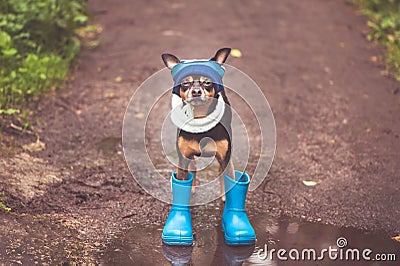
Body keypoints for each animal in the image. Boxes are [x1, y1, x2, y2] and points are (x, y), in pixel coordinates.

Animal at [162, 48, 234, 201]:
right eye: (185, 83)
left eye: (207, 82)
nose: (196, 91)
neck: (200, 119)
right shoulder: (183, 158)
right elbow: (182, 181)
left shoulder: (223, 157)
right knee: (193, 166)